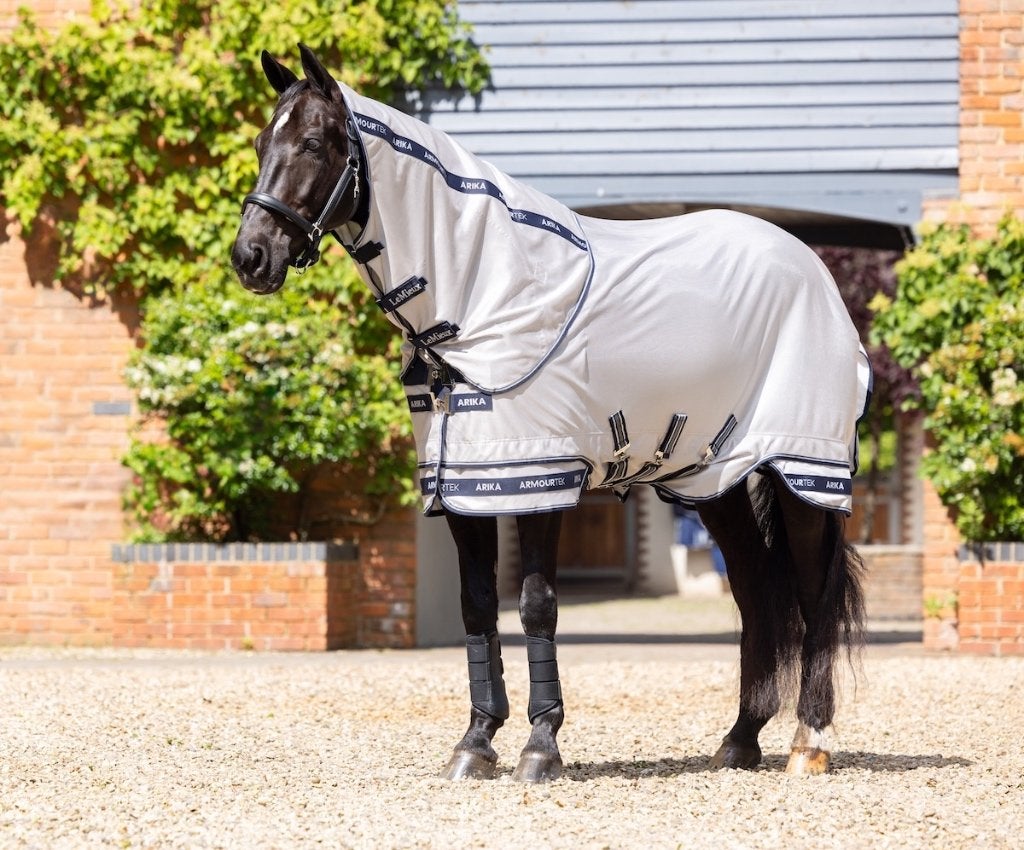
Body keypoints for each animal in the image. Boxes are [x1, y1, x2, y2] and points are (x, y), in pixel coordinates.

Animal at [231, 45, 868, 783]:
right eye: (260, 143)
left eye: (311, 142)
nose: (250, 257)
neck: (484, 293)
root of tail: (810, 268)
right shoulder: (466, 486)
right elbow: (478, 606)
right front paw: (476, 743)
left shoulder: (541, 479)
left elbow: (536, 607)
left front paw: (541, 746)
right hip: (717, 483)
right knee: (756, 591)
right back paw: (739, 740)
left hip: (805, 472)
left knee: (813, 591)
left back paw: (808, 742)